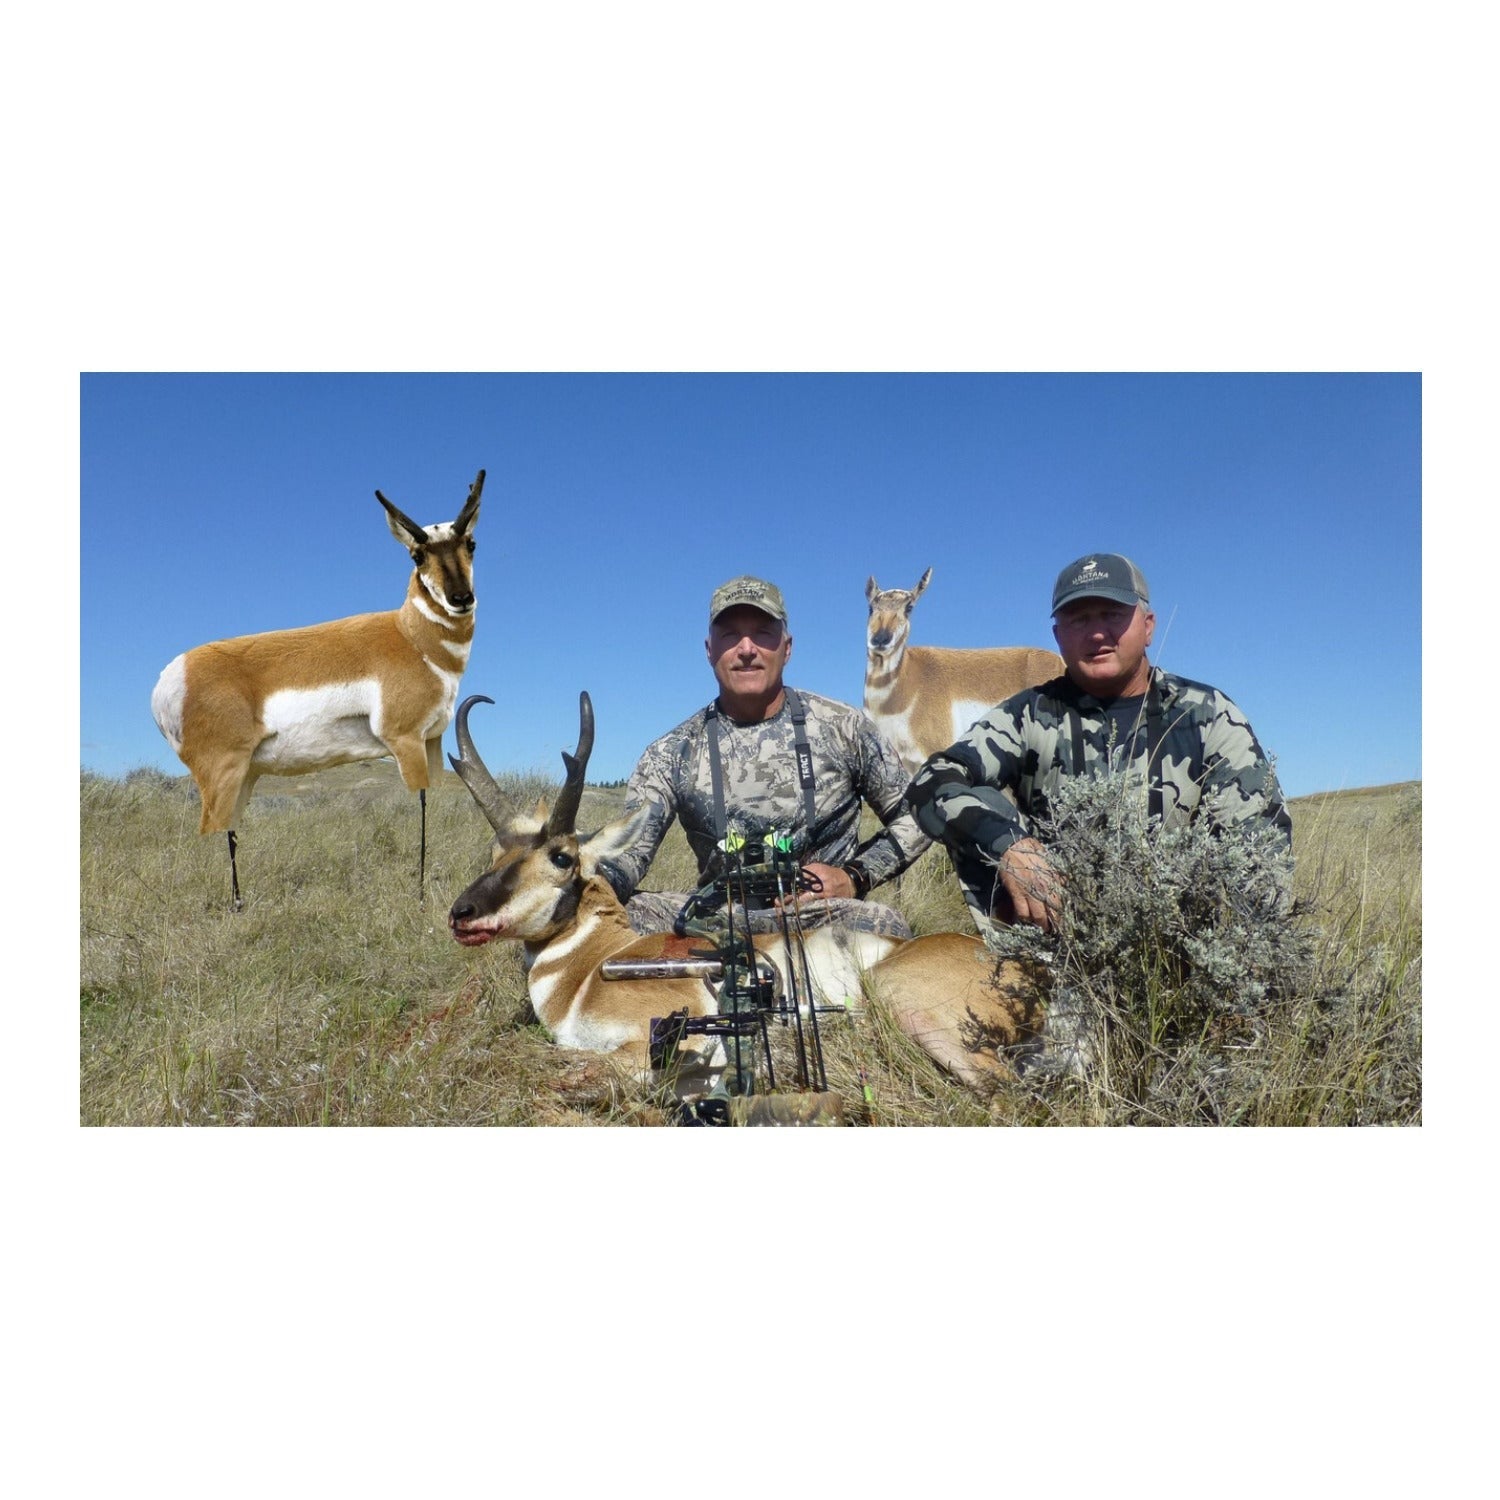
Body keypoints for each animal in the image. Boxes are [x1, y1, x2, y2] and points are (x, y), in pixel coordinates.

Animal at [151, 469, 485, 907]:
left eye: (471, 544)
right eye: (417, 555)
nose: (460, 598)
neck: (410, 636)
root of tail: (170, 676)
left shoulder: (432, 739)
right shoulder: (404, 739)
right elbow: (422, 805)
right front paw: (419, 895)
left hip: (245, 776)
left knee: (231, 830)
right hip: (222, 773)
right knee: (212, 828)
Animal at [446, 692, 1040, 1096]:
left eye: (562, 857)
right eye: (497, 852)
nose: (462, 914)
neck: (590, 968)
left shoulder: (666, 1033)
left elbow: (583, 1065)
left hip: (900, 999)